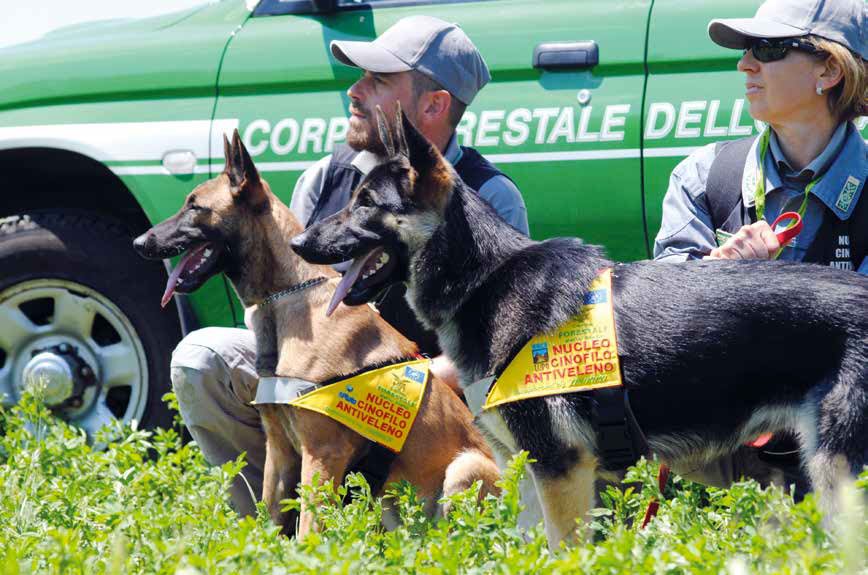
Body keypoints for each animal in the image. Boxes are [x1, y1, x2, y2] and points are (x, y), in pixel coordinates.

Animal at [136, 132, 502, 540]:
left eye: (195, 207)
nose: (138, 242)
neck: (289, 294)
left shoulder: (322, 454)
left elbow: (308, 530)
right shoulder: (280, 452)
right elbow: (269, 520)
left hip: (465, 468)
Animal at [294, 104, 868, 548]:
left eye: (366, 205)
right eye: (353, 198)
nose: (299, 243)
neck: (484, 280)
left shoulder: (561, 470)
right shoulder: (527, 470)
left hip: (838, 478)